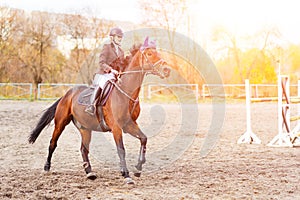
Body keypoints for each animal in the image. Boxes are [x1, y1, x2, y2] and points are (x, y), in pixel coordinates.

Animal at [28, 36, 171, 184]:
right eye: (149, 54)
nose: (167, 69)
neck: (126, 92)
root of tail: (67, 95)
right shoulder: (116, 127)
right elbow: (121, 149)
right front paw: (126, 175)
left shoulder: (129, 124)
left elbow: (144, 139)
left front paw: (138, 168)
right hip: (60, 123)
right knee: (53, 143)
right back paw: (47, 167)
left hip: (85, 128)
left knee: (83, 149)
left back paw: (89, 173)